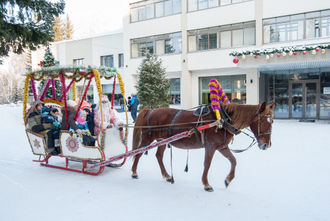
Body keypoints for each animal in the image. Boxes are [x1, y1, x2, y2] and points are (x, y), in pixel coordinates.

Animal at [130, 101, 274, 191]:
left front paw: (228, 180)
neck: (222, 120)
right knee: (138, 153)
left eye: (272, 121)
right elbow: (207, 164)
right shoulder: (210, 147)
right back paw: (134, 172)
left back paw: (167, 175)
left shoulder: (221, 146)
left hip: (163, 140)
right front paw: (206, 184)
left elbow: (233, 160)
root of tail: (150, 110)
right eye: (262, 121)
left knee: (159, 155)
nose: (266, 145)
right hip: (147, 138)